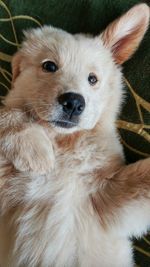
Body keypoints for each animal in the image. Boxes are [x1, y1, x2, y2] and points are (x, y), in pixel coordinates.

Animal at [0, 4, 150, 267]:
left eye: (93, 79)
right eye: (49, 66)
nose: (73, 102)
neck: (63, 143)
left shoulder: (107, 197)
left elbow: (140, 180)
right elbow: (7, 112)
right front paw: (34, 150)